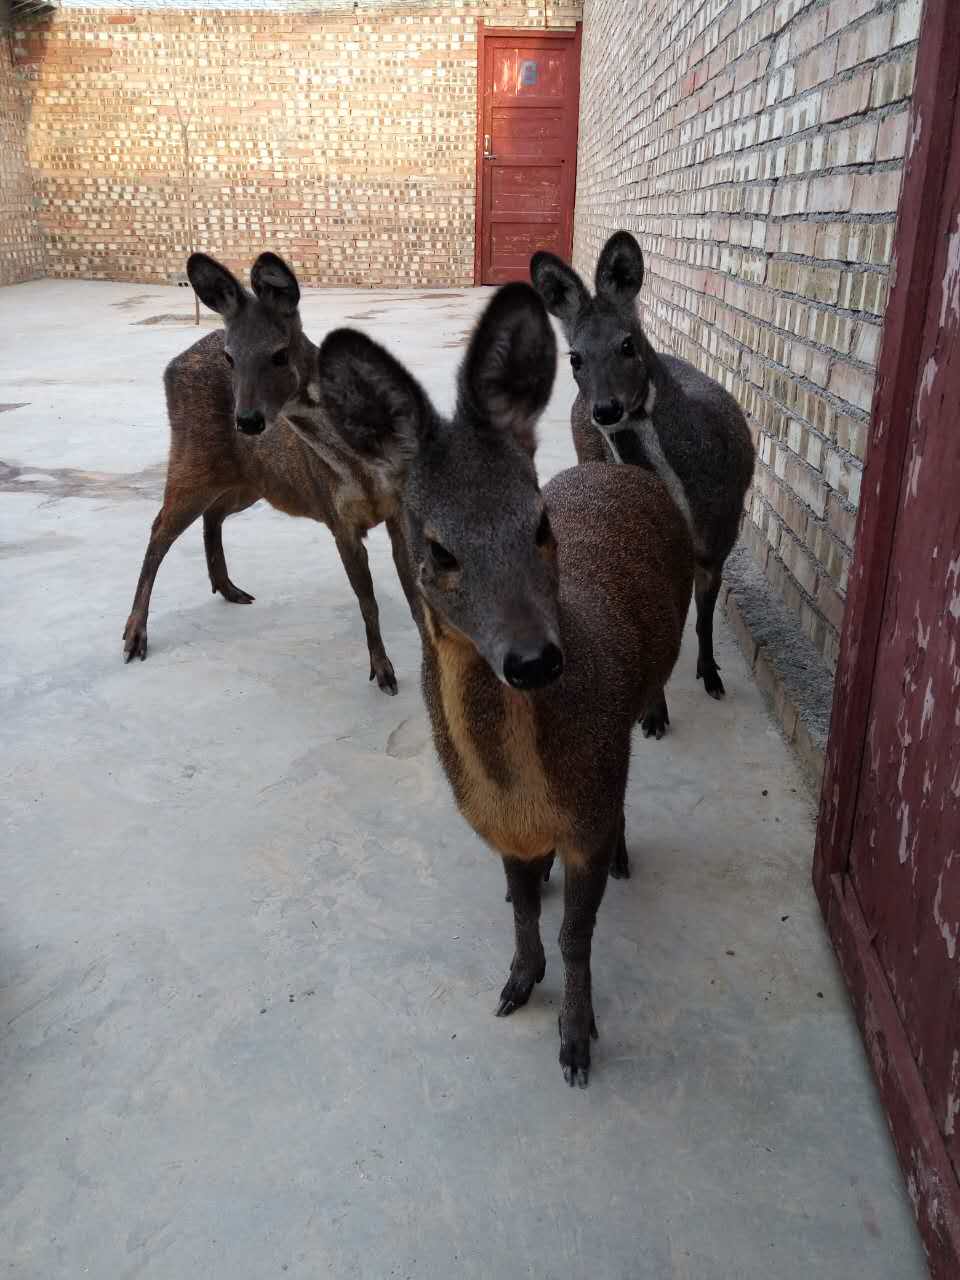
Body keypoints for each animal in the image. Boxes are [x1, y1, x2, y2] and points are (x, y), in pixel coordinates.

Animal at [122, 248, 417, 691]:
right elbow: (368, 601)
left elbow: (417, 597)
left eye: (279, 353)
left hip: (253, 482)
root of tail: (171, 366)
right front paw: (383, 671)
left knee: (212, 515)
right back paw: (134, 635)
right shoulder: (338, 519)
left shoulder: (400, 508)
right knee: (160, 529)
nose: (246, 421)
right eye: (230, 357)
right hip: (192, 460)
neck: (360, 469)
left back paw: (227, 588)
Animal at [293, 285, 691, 1085]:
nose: (534, 660)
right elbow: (520, 909)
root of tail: (622, 471)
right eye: (438, 549)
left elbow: (576, 935)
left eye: (539, 522)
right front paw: (517, 981)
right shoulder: (500, 828)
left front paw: (576, 1040)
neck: (520, 794)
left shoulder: (587, 803)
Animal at [529, 230, 757, 742]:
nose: (606, 409)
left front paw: (712, 676)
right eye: (575, 356)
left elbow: (704, 617)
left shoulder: (721, 538)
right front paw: (654, 716)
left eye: (628, 344)